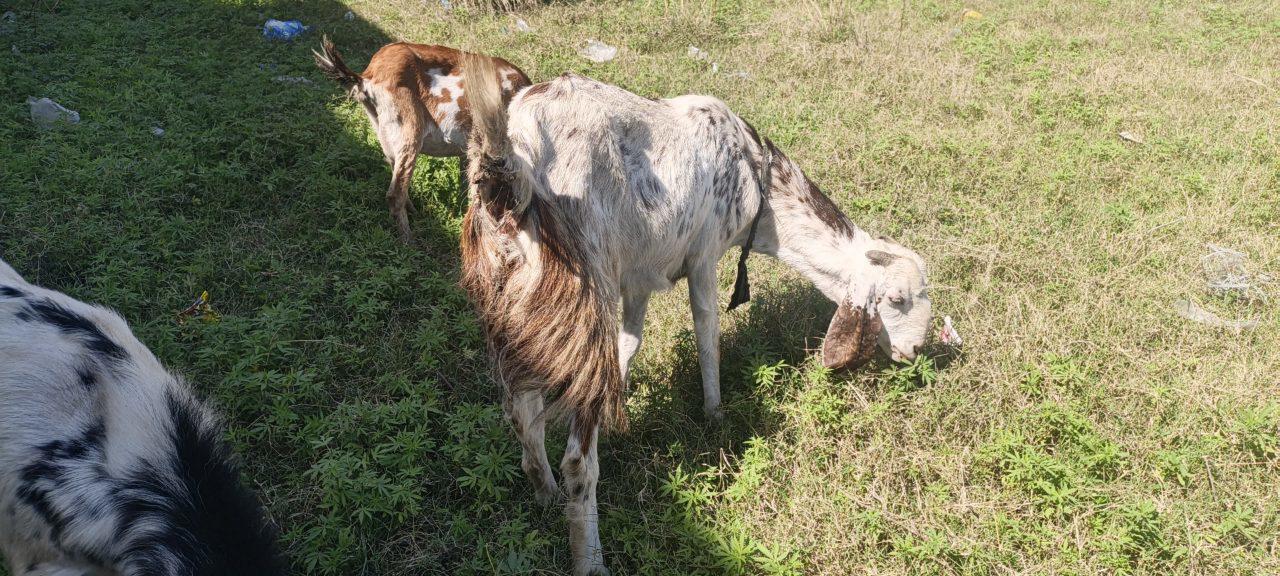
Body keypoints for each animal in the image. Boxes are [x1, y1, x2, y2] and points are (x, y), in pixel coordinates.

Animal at [460, 57, 932, 575]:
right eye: (897, 298)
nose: (914, 351)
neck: (757, 179)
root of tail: (512, 172)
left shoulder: (638, 277)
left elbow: (630, 343)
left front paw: (622, 402)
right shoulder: (704, 256)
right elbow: (708, 331)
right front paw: (714, 412)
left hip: (516, 314)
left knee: (522, 416)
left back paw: (543, 494)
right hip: (586, 293)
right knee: (578, 462)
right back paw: (591, 558)